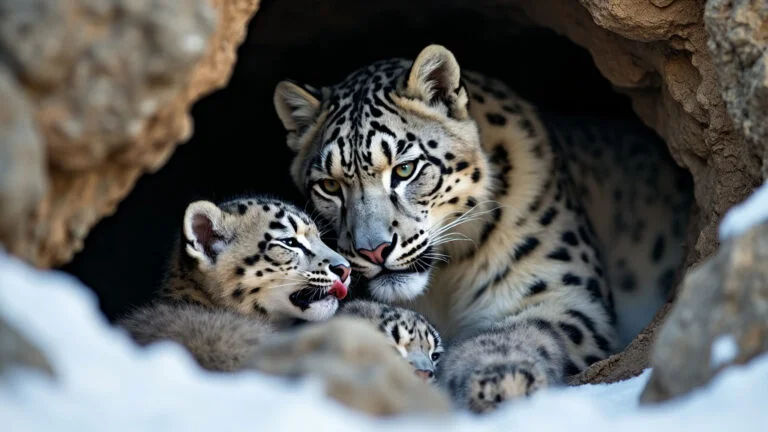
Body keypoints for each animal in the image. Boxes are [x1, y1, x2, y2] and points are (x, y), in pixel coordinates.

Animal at [273, 44, 692, 412]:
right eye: (330, 186)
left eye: (405, 169)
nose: (373, 250)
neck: (440, 286)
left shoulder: (562, 293)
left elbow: (523, 334)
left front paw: (500, 379)